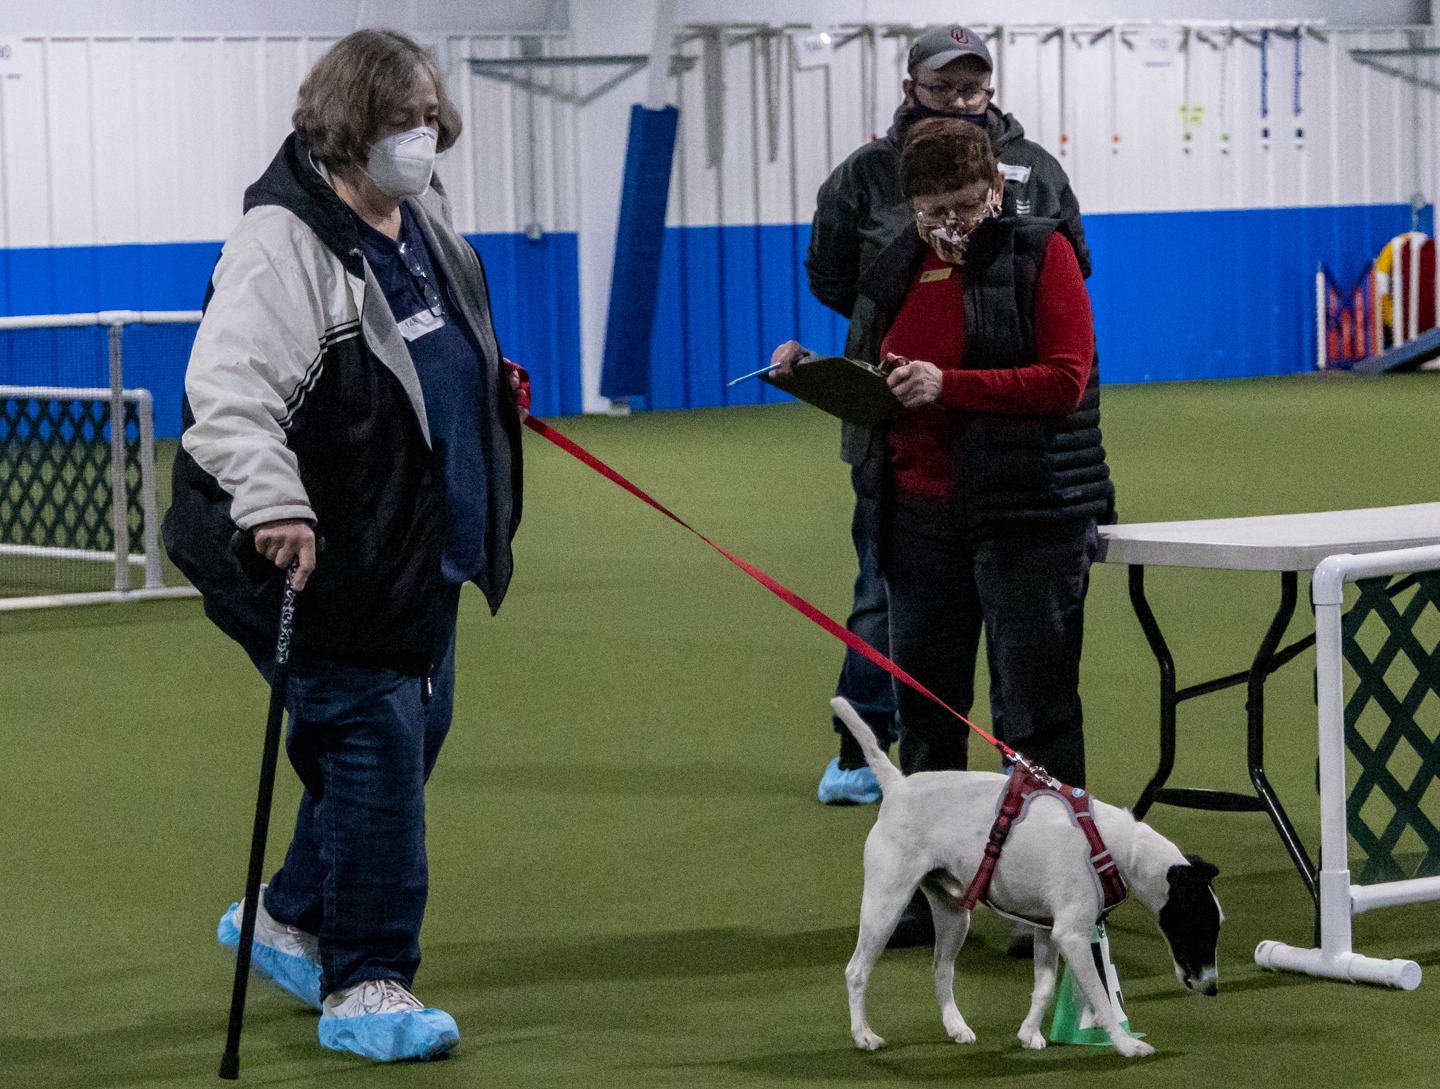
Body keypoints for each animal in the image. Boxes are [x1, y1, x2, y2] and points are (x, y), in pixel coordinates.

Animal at [832, 698, 1222, 1059]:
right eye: (1201, 926)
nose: (1214, 989)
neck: (1115, 846)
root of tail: (896, 787)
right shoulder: (1072, 936)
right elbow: (1100, 996)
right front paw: (1126, 1044)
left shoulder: (1047, 931)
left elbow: (1045, 987)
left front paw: (1029, 1033)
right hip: (885, 906)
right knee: (856, 971)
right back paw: (863, 1034)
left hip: (954, 915)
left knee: (941, 968)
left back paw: (956, 1025)